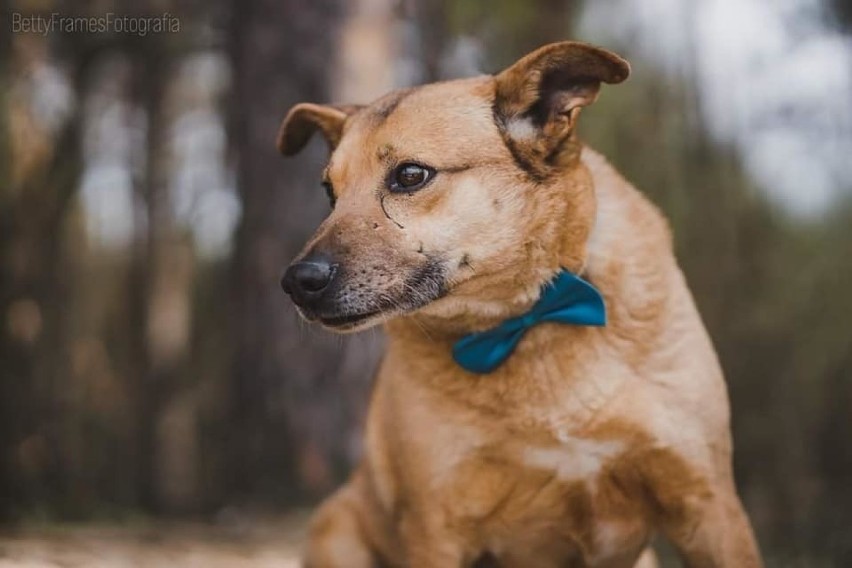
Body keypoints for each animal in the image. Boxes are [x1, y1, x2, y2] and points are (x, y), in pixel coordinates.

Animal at [276, 41, 764, 568]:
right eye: (330, 193)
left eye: (410, 175)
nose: (296, 282)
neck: (527, 319)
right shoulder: (436, 530)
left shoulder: (706, 504)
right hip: (335, 529)